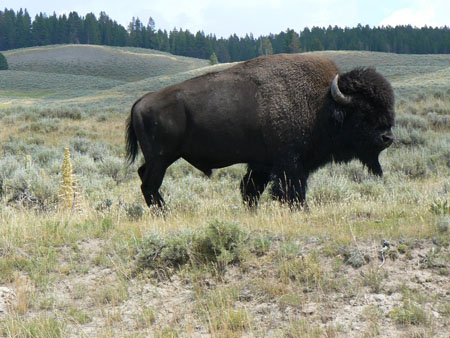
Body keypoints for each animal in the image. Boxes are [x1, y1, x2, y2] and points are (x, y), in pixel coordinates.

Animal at [125, 53, 394, 209]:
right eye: (363, 110)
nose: (387, 137)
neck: (323, 103)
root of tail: (141, 101)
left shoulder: (262, 164)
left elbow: (251, 190)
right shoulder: (289, 163)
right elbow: (292, 191)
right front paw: (301, 210)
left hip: (159, 158)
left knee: (143, 177)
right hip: (162, 158)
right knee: (149, 184)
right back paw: (164, 213)